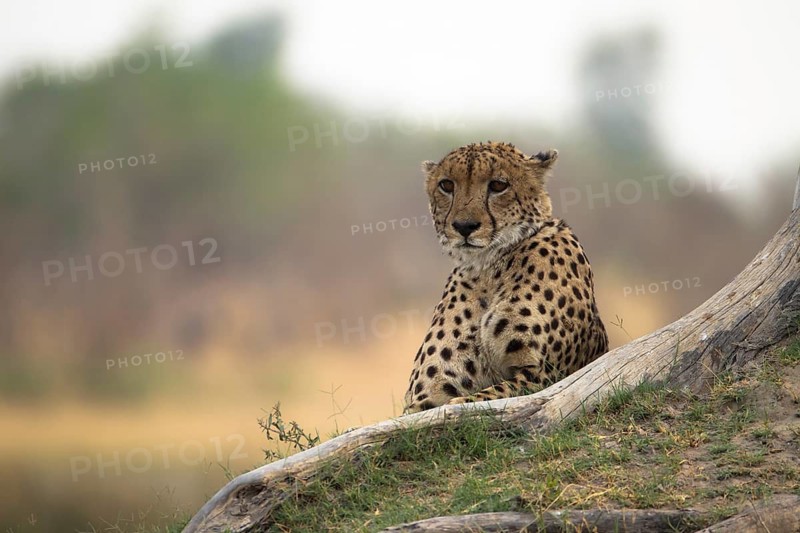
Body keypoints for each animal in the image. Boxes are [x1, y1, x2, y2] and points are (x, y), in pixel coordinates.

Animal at [403, 141, 608, 414]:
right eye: (446, 185)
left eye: (499, 185)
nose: (464, 226)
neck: (488, 269)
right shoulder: (425, 397)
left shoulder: (543, 376)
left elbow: (482, 397)